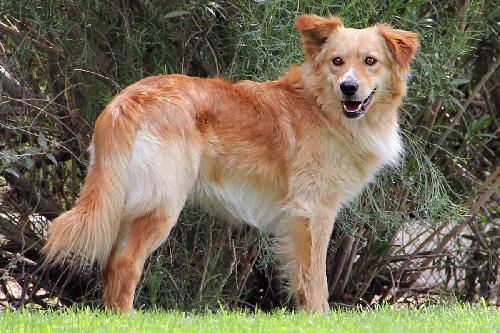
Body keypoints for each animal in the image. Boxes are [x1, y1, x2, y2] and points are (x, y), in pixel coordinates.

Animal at [43, 14, 418, 312]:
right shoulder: (314, 212)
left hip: (127, 205)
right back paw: (127, 318)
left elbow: (302, 278)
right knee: (124, 264)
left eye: (370, 61)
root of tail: (126, 100)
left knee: (110, 264)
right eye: (337, 61)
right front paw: (320, 317)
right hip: (163, 204)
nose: (349, 88)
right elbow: (316, 281)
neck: (321, 106)